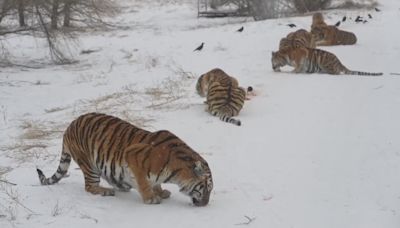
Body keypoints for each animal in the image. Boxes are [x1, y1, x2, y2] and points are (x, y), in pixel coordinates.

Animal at [36, 112, 214, 207]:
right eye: (206, 188)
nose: (205, 204)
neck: (177, 171)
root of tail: (68, 127)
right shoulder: (133, 155)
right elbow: (144, 182)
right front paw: (151, 198)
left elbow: (155, 182)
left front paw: (160, 192)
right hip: (89, 164)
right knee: (89, 186)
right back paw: (106, 190)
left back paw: (121, 185)